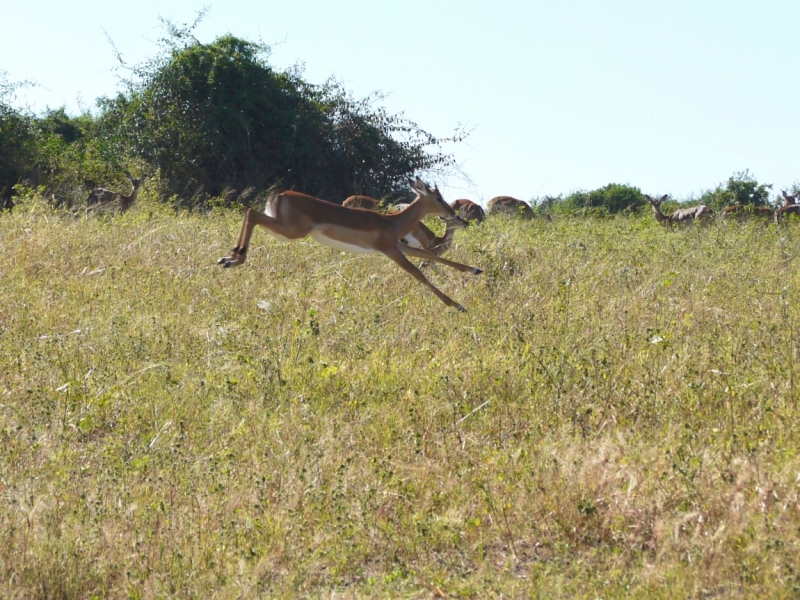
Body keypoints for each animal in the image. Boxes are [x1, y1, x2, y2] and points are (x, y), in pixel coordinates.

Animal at [217, 177, 482, 310]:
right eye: (438, 197)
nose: (451, 214)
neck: (394, 221)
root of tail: (278, 195)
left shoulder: (399, 246)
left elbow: (433, 257)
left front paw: (475, 270)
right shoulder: (391, 250)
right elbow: (420, 274)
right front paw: (458, 305)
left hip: (284, 229)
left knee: (250, 212)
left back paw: (228, 258)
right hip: (291, 231)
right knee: (251, 213)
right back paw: (234, 257)